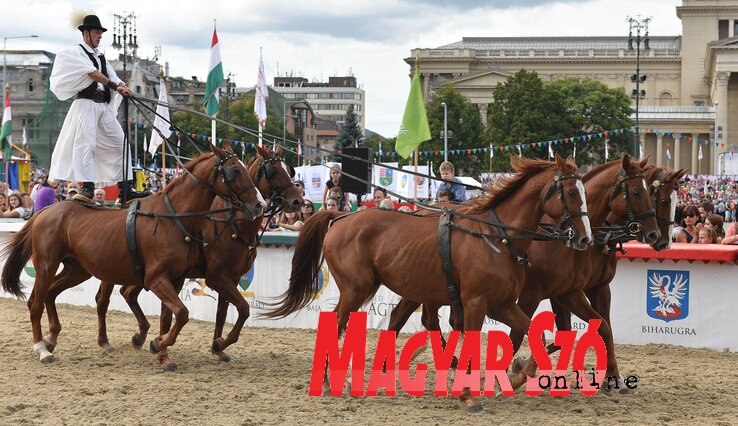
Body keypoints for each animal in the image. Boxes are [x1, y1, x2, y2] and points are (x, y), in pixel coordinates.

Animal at [0, 144, 264, 370]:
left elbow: (170, 317)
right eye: (235, 171)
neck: (173, 218)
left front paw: (162, 351)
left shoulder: (177, 278)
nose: (259, 204)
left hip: (78, 269)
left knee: (52, 293)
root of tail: (45, 210)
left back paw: (52, 337)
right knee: (36, 302)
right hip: (46, 264)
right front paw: (158, 344)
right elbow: (182, 314)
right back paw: (41, 348)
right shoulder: (158, 278)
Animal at [92, 145, 302, 362]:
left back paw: (140, 335)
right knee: (103, 300)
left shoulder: (232, 278)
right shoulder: (216, 277)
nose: (297, 201)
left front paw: (218, 347)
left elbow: (223, 312)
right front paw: (219, 343)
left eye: (289, 170)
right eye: (273, 171)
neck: (234, 224)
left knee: (128, 293)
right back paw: (106, 341)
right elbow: (243, 309)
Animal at [268, 155, 588, 412]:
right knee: (337, 323)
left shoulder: (502, 304)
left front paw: (519, 374)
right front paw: (470, 394)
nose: (584, 238)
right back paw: (327, 382)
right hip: (356, 289)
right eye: (572, 192)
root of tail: (342, 216)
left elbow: (535, 333)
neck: (496, 236)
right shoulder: (476, 302)